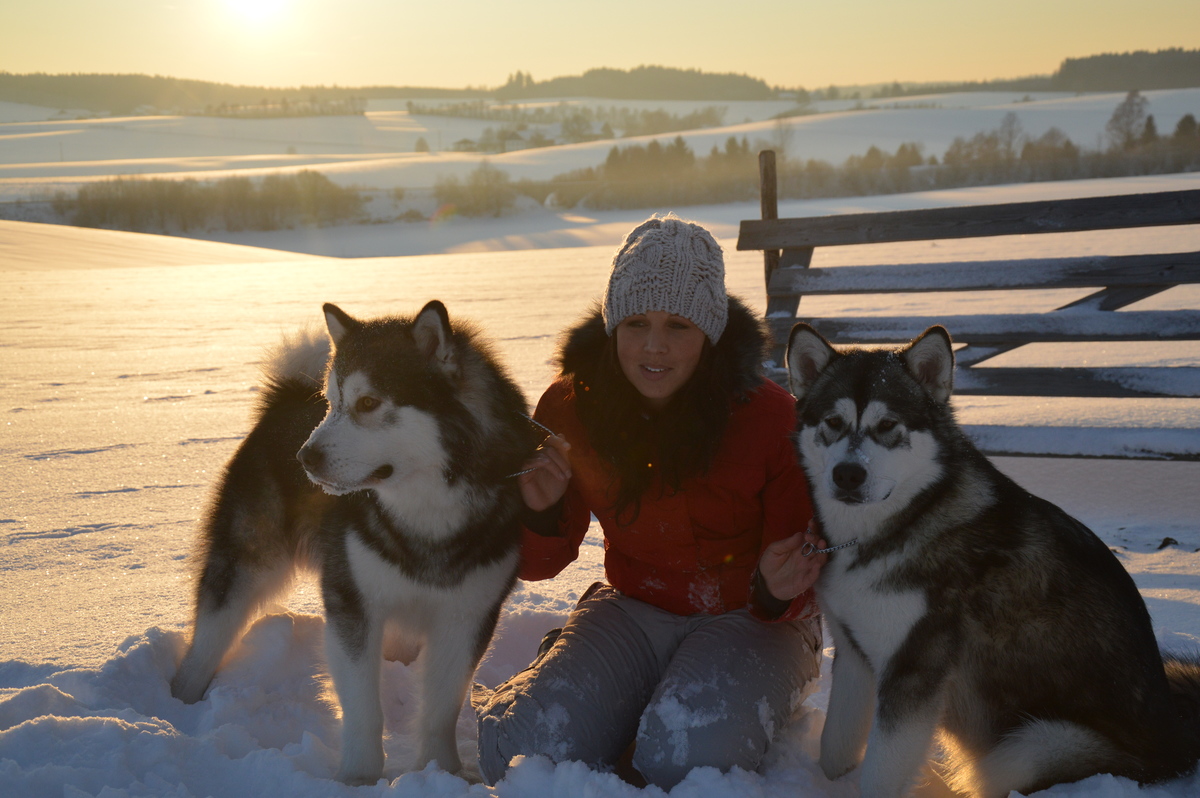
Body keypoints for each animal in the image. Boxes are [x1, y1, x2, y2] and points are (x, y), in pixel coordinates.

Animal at [171, 300, 540, 784]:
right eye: (332, 405)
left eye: (368, 403)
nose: (304, 458)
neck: (426, 515)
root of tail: (287, 395)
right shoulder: (352, 602)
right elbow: (364, 707)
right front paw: (360, 778)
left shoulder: (467, 615)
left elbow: (440, 708)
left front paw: (440, 772)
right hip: (247, 564)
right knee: (208, 640)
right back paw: (177, 708)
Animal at [785, 323, 1200, 798]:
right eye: (833, 423)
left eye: (887, 425)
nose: (848, 475)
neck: (894, 526)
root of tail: (1178, 741)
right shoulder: (855, 655)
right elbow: (835, 749)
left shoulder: (913, 670)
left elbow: (879, 775)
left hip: (1026, 749)